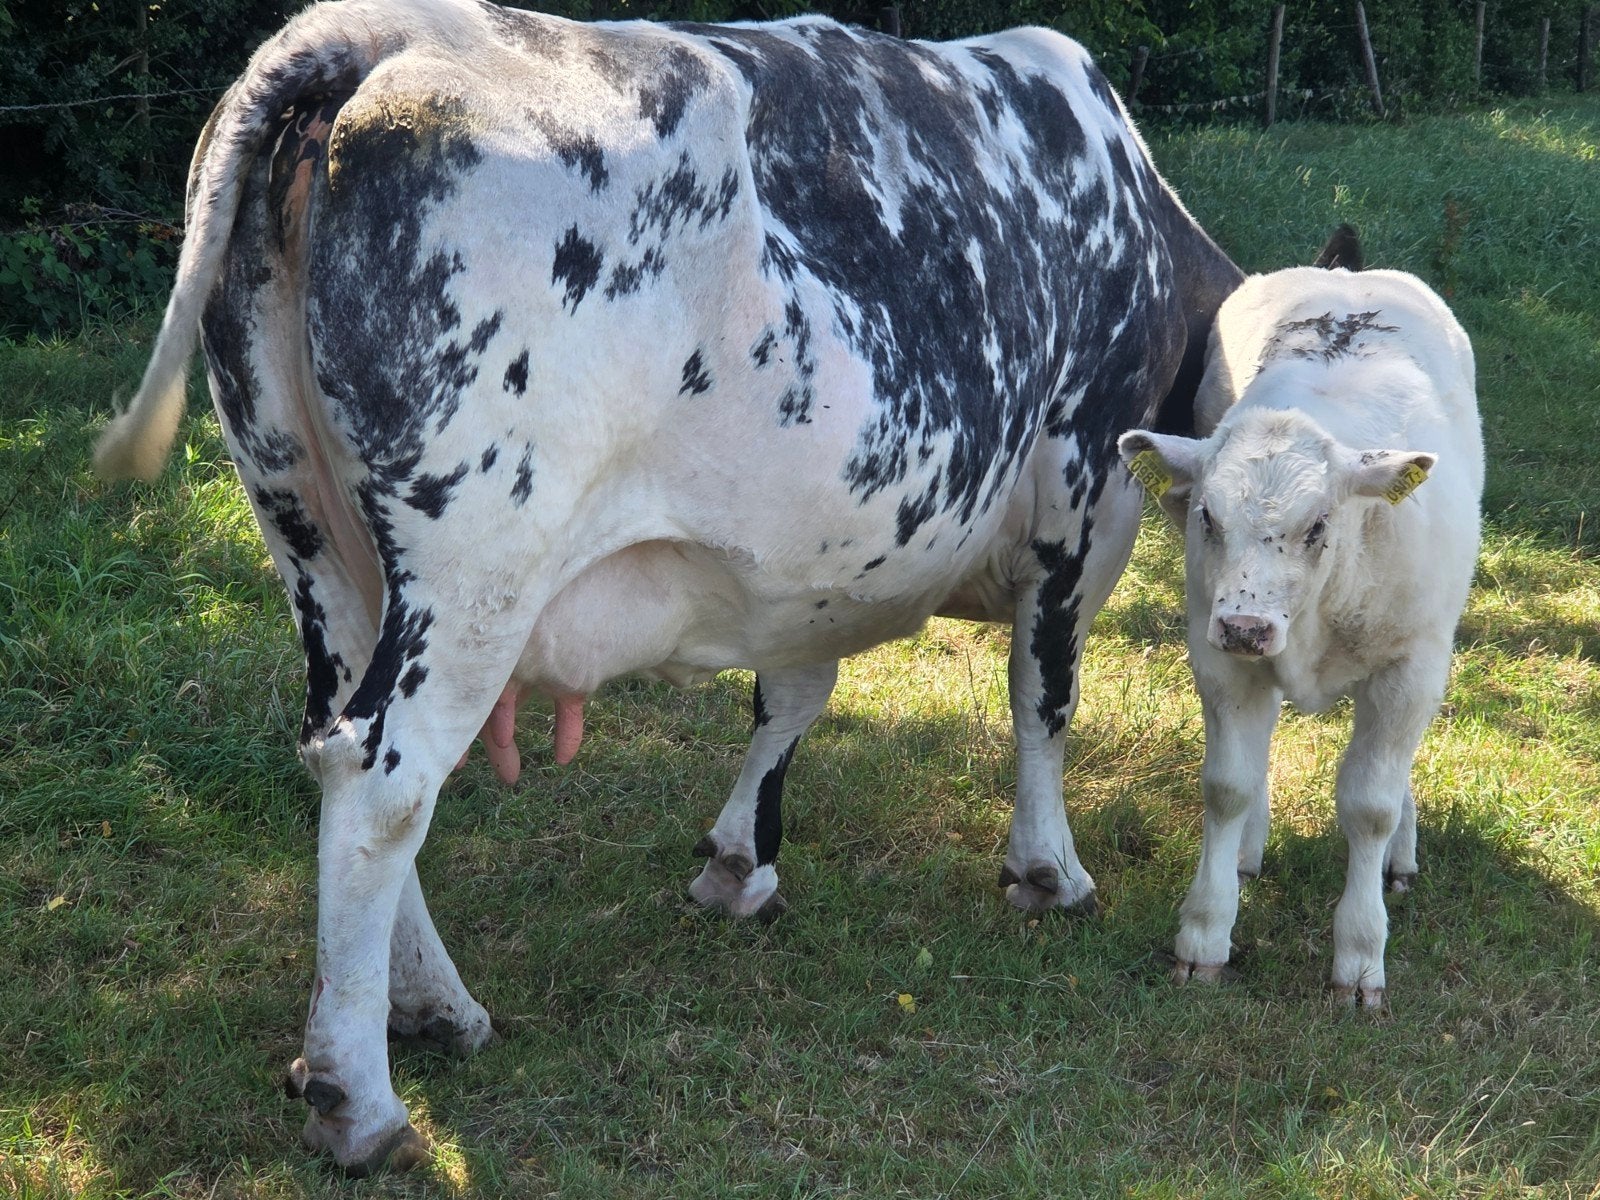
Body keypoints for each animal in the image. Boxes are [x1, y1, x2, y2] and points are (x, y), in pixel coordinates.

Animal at [95, 0, 1241, 1171]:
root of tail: (371, 35)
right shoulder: (1084, 486)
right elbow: (1042, 695)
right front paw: (1047, 870)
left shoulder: (813, 565)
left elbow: (794, 694)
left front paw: (740, 862)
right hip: (478, 565)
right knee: (381, 779)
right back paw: (358, 1099)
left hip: (310, 537)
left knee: (331, 741)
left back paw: (431, 1008)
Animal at [1117, 231, 1483, 1007]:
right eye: (1205, 515)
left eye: (1318, 525)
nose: (1248, 626)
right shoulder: (1218, 653)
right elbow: (1226, 785)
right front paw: (1205, 932)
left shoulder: (1412, 664)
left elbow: (1370, 803)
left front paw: (1361, 956)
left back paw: (1399, 855)